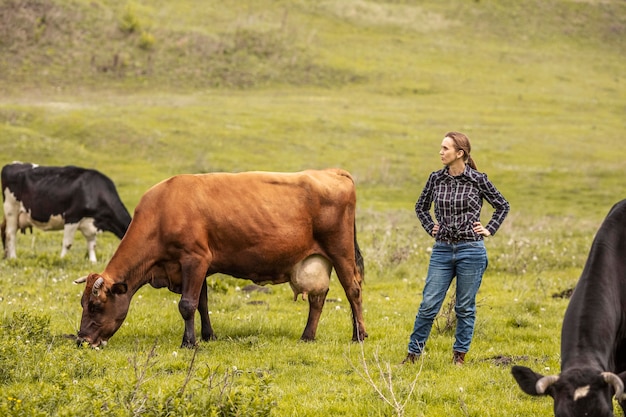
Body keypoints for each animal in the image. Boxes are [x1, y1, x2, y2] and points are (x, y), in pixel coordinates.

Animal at [0, 162, 130, 262]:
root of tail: (11, 165)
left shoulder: (90, 223)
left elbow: (92, 244)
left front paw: (93, 261)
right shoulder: (72, 217)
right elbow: (67, 243)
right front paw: (61, 259)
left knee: (4, 231)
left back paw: (7, 256)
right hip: (11, 209)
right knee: (10, 233)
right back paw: (13, 258)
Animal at [74, 167, 366, 346]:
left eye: (96, 305)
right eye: (82, 303)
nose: (82, 340)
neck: (161, 212)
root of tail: (331, 172)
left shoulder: (194, 258)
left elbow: (187, 304)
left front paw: (188, 342)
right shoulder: (199, 266)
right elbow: (202, 302)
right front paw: (207, 335)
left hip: (340, 251)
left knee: (353, 290)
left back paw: (359, 334)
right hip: (316, 260)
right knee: (318, 298)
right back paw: (307, 336)